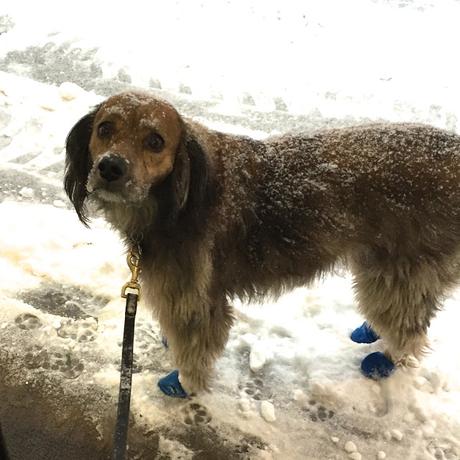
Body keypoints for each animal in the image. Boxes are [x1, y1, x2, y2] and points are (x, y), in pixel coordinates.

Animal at [63, 91, 460, 394]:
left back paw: (385, 358)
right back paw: (370, 331)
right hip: (381, 260)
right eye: (104, 128)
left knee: (410, 329)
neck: (177, 195)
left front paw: (185, 384)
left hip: (405, 267)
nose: (110, 167)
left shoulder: (195, 297)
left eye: (155, 141)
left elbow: (194, 347)